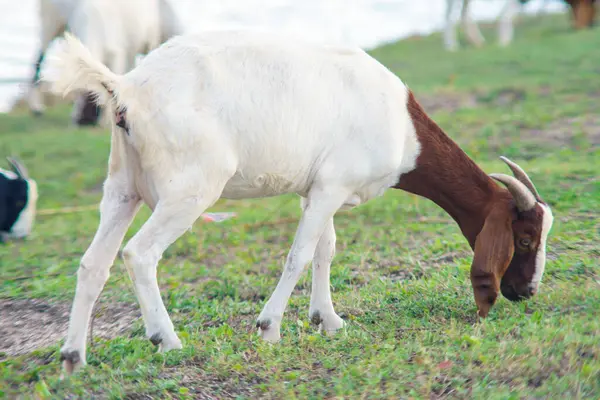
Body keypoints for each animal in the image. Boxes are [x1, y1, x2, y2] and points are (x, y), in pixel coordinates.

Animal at [44, 31, 556, 376]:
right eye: (525, 239)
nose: (526, 291)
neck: (401, 124)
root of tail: (127, 86)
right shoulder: (332, 186)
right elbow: (299, 255)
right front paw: (269, 327)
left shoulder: (321, 189)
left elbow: (325, 250)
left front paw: (327, 319)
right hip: (190, 189)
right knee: (139, 254)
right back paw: (167, 341)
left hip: (122, 187)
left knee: (93, 263)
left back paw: (73, 358)